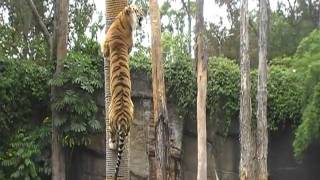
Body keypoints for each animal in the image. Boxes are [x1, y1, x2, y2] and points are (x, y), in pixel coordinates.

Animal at [100, 4, 144, 180]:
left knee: (112, 139)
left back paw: (110, 144)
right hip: (131, 118)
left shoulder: (107, 46)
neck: (123, 20)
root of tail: (124, 118)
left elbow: (102, 48)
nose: (143, 14)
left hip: (111, 121)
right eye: (138, 10)